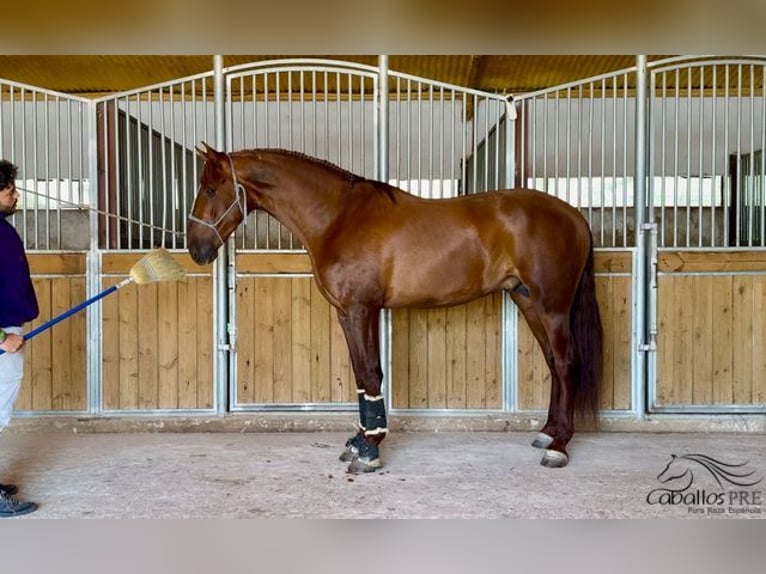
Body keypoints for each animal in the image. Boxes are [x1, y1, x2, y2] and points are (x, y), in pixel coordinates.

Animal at [188, 144, 608, 472]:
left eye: (210, 188)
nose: (196, 250)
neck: (338, 217)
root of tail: (573, 215)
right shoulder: (347, 313)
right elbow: (361, 375)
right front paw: (358, 441)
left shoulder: (363, 309)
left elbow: (371, 373)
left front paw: (370, 450)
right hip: (529, 302)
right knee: (554, 364)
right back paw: (547, 434)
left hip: (552, 308)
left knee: (566, 364)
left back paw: (558, 447)